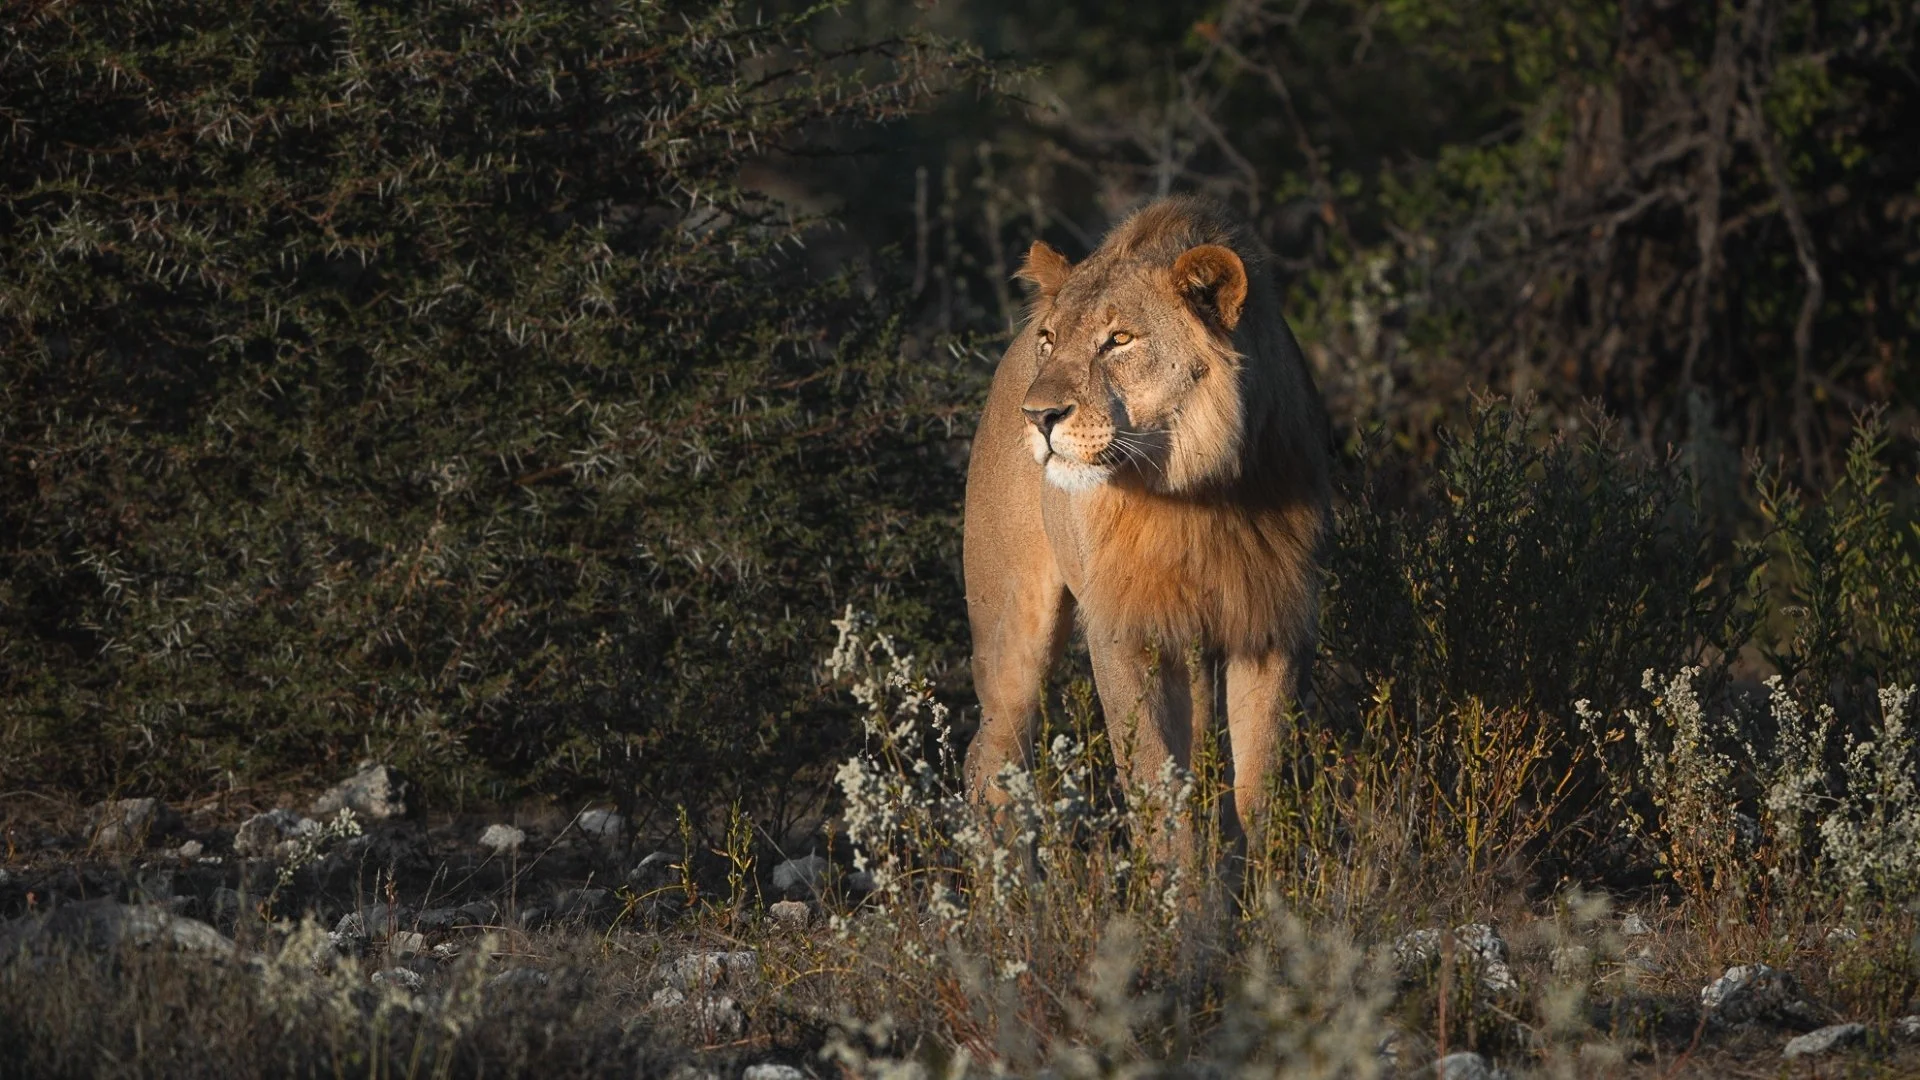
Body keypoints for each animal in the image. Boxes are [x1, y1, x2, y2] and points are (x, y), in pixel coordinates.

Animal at [961, 195, 1332, 856]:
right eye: (1051, 340)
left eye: (1119, 340)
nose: (1039, 416)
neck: (1198, 491)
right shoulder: (1128, 632)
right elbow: (1158, 791)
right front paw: (1178, 887)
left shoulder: (1273, 623)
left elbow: (1258, 791)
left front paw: (1265, 884)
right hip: (1010, 628)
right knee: (989, 762)